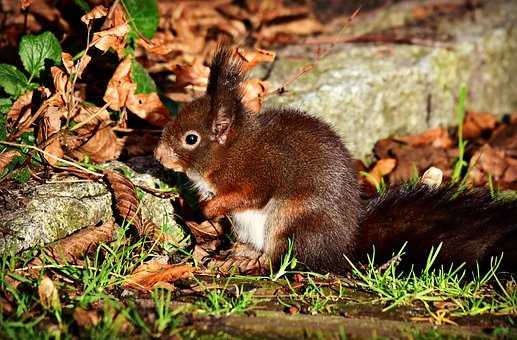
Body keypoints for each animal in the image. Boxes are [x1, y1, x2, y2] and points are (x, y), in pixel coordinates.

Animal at [154, 46, 516, 274]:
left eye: (191, 139)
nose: (158, 155)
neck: (230, 151)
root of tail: (343, 244)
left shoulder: (260, 172)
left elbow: (250, 195)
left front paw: (208, 208)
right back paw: (233, 257)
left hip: (294, 220)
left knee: (287, 260)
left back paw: (252, 263)